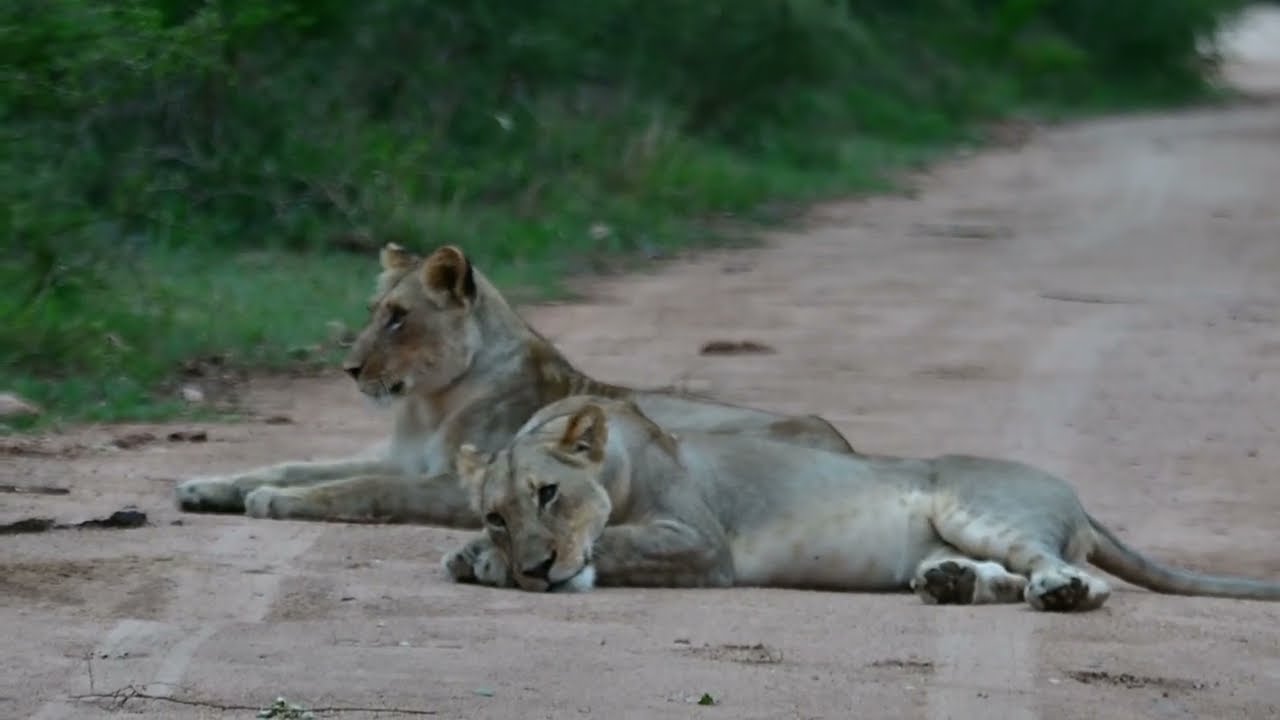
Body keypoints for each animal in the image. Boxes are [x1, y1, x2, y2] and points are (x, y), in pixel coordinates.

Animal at [173, 244, 855, 526]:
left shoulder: (458, 483)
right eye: (372, 312)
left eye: (398, 317)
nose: (350, 369)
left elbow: (363, 486)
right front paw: (211, 486)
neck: (427, 404)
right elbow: (299, 463)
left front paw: (277, 501)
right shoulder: (403, 455)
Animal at [445, 396, 1280, 611]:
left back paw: (1061, 592)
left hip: (980, 507)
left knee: (1069, 572)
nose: (536, 570)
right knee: (995, 576)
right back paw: (950, 583)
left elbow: (610, 545)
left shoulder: (702, 542)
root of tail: (1072, 490)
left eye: (549, 493)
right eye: (496, 512)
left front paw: (528, 568)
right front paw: (475, 556)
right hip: (951, 534)